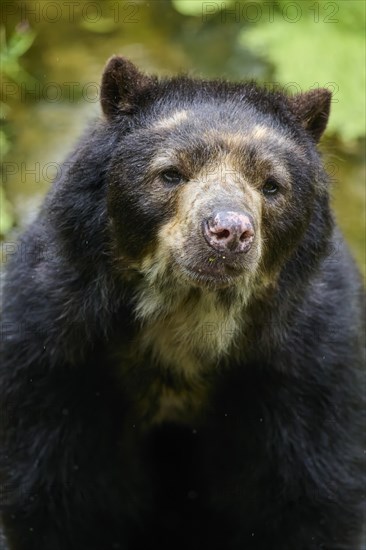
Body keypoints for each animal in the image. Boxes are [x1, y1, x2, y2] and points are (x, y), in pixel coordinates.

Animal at [0, 57, 364, 550]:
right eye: (170, 173)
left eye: (272, 186)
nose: (229, 232)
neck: (189, 314)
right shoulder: (55, 351)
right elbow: (50, 492)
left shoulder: (309, 371)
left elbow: (314, 497)